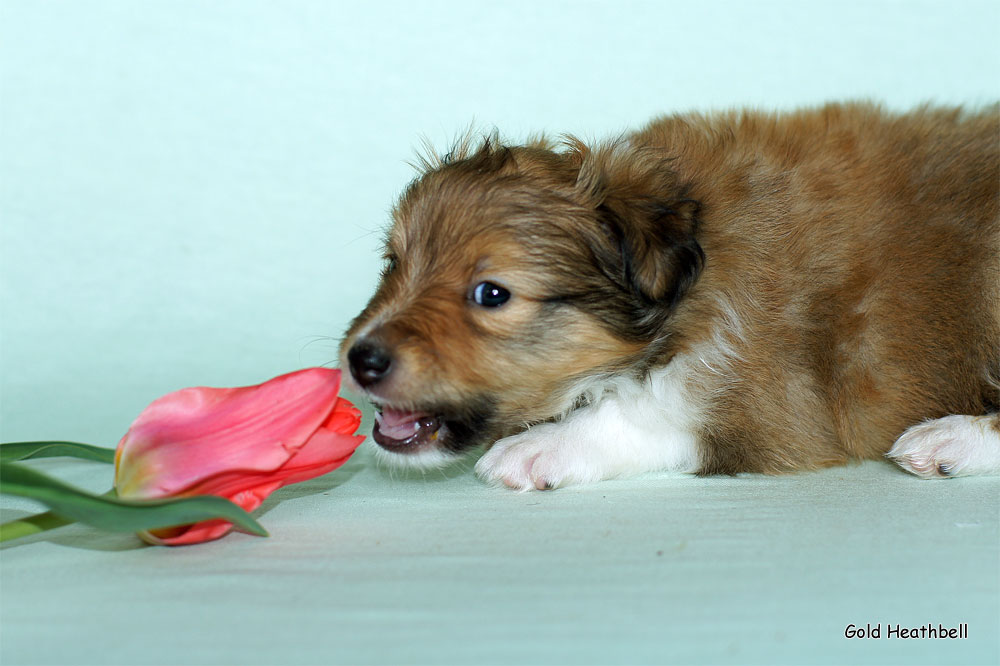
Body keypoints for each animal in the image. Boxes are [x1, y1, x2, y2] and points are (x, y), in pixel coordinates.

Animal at [340, 102, 996, 488]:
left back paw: (948, 438)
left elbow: (647, 412)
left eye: (491, 293)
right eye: (394, 263)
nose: (360, 359)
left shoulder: (769, 401)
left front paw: (539, 446)